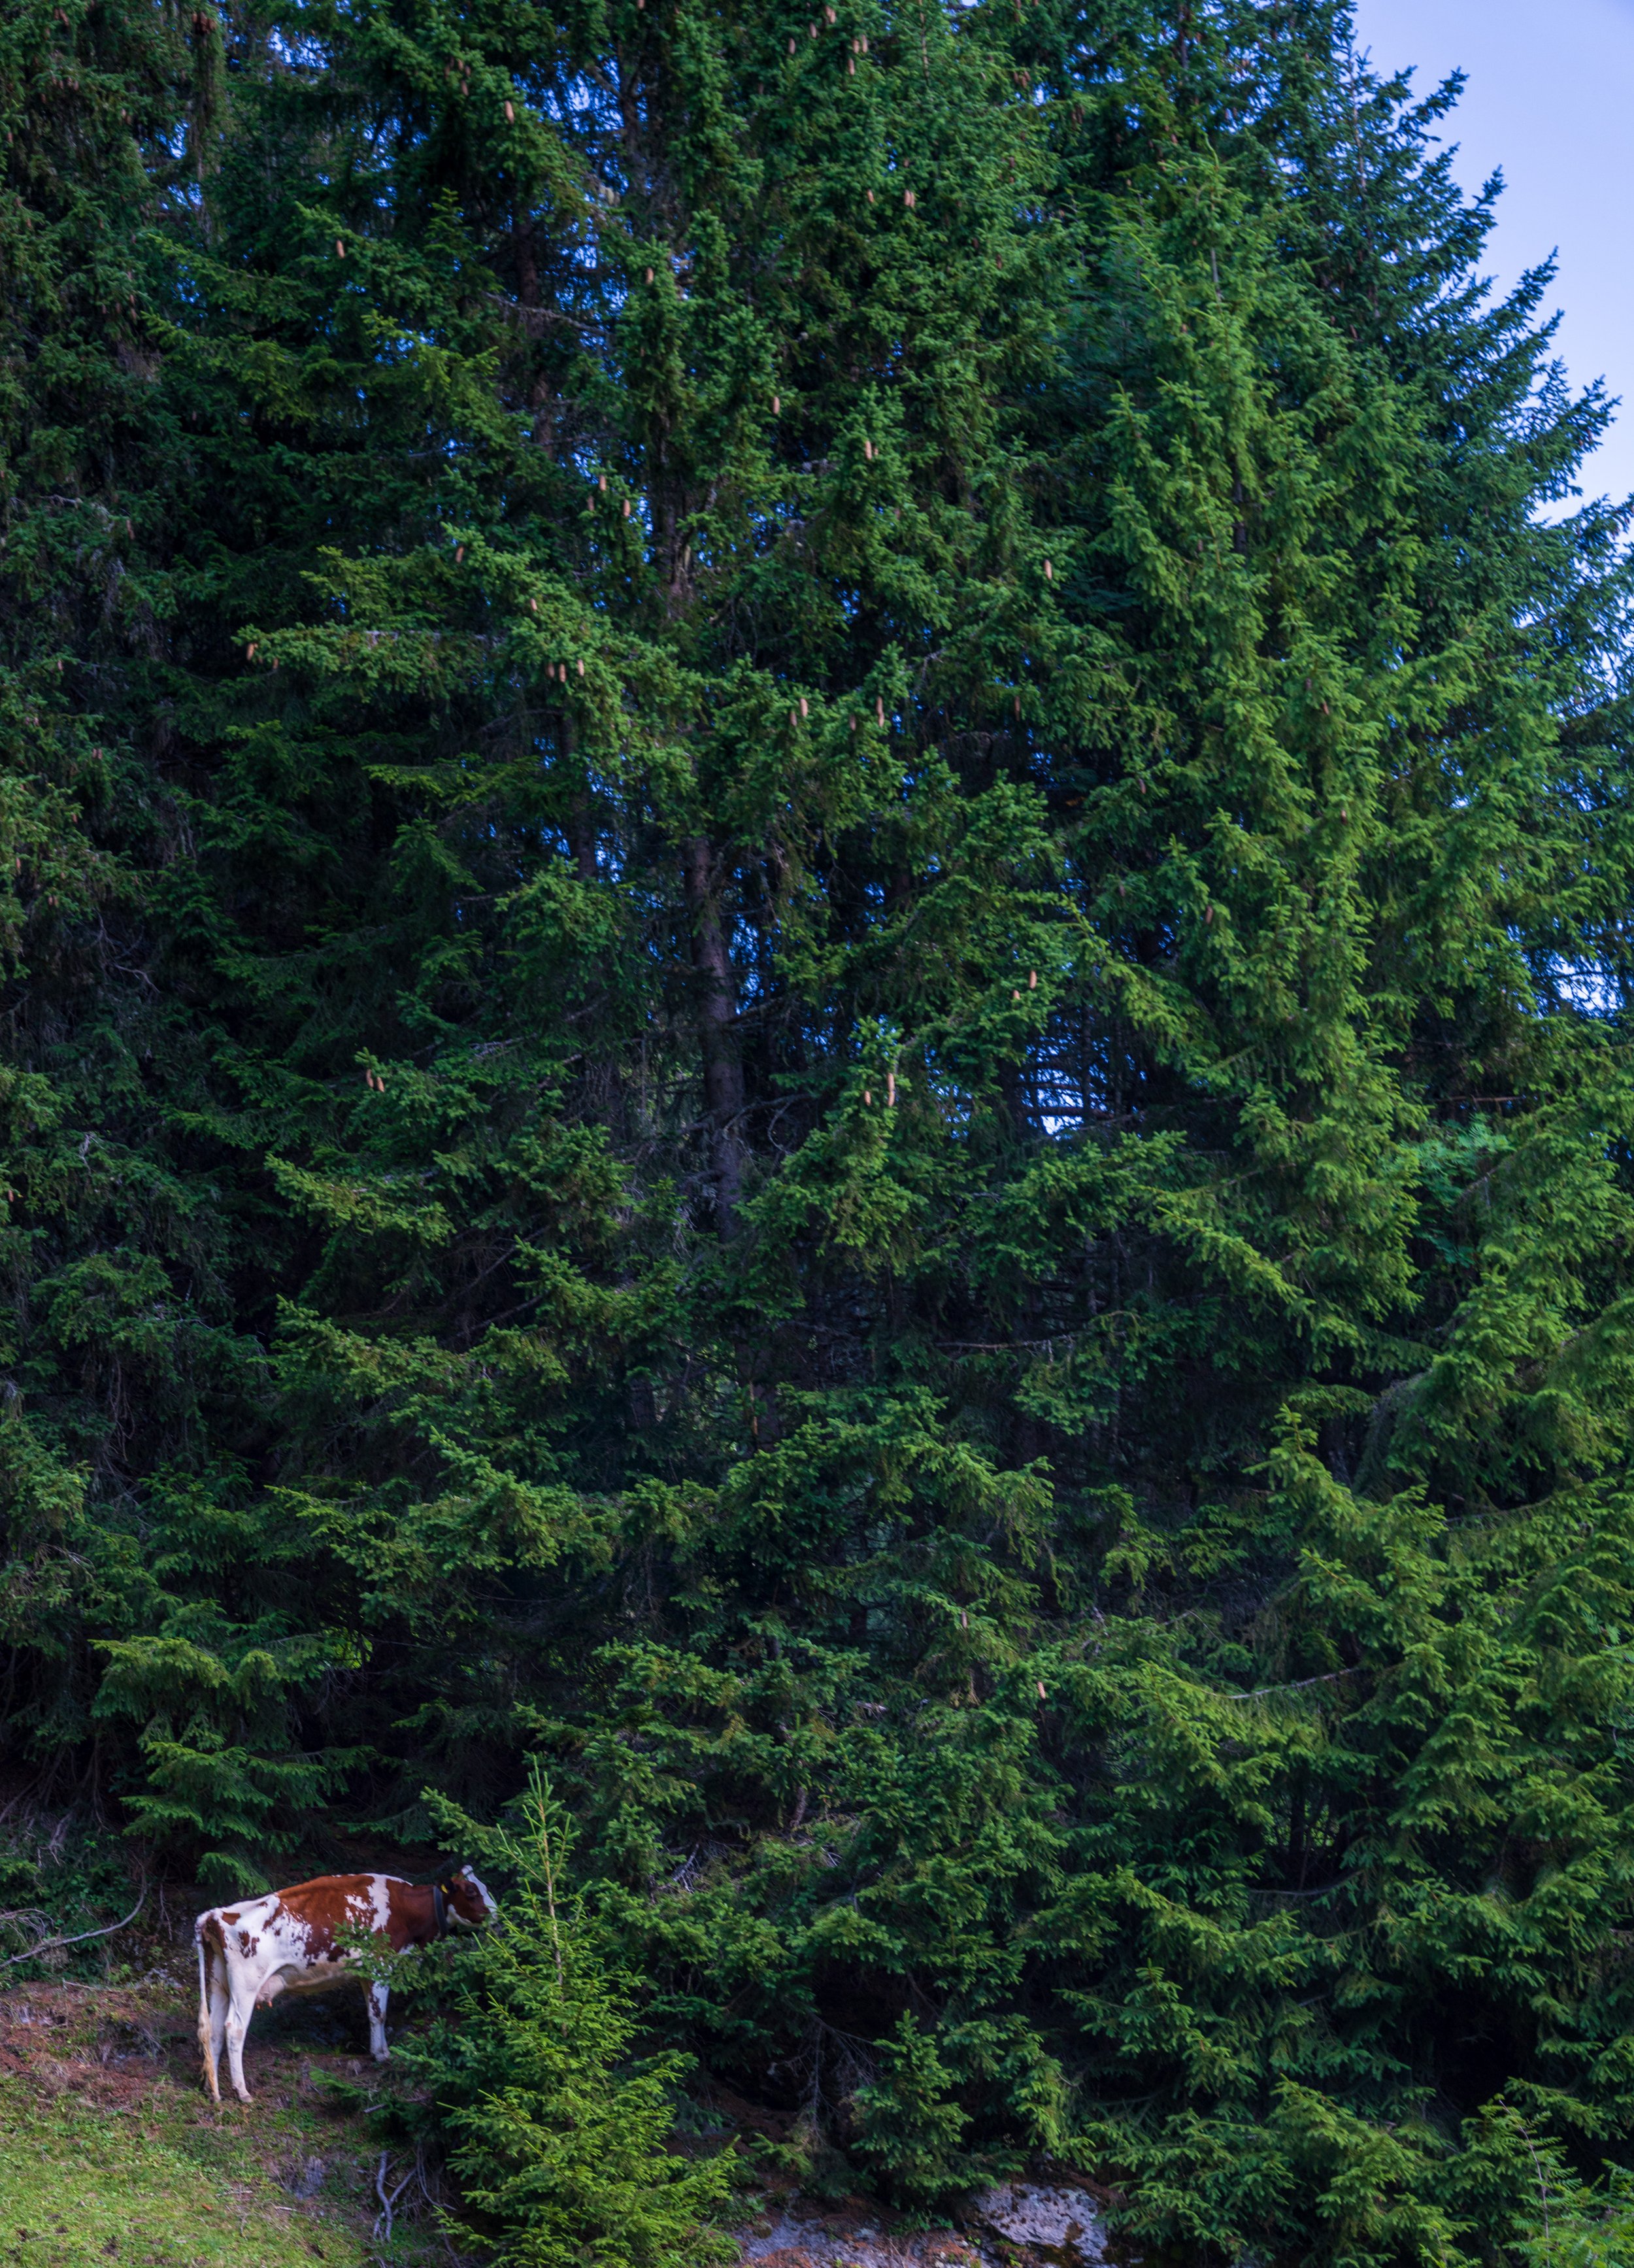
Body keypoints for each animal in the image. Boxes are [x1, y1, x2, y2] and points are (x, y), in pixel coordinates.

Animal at [194, 1865, 497, 2104]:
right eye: (471, 1891)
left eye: (485, 1886)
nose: (497, 1914)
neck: (403, 1909)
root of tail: (216, 1914)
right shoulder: (380, 1964)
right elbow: (379, 2014)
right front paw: (382, 2055)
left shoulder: (366, 1974)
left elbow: (372, 2012)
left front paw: (379, 2050)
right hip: (246, 1984)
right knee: (234, 2029)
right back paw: (241, 2091)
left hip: (219, 1983)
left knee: (214, 2031)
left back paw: (214, 2091)